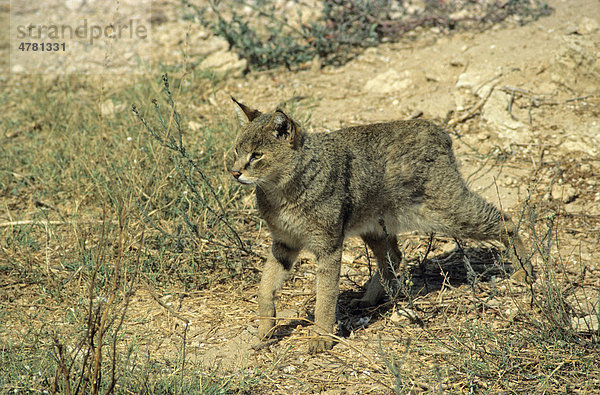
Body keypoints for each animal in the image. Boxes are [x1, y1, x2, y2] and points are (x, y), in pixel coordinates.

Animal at [231, 97, 536, 354]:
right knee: (394, 256)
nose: (234, 172)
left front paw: (321, 336)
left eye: (257, 155)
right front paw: (264, 328)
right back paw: (370, 299)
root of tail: (438, 131)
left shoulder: (328, 246)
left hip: (451, 213)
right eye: (236, 150)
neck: (279, 191)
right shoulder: (284, 243)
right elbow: (264, 287)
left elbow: (325, 298)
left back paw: (524, 270)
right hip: (375, 228)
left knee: (507, 221)